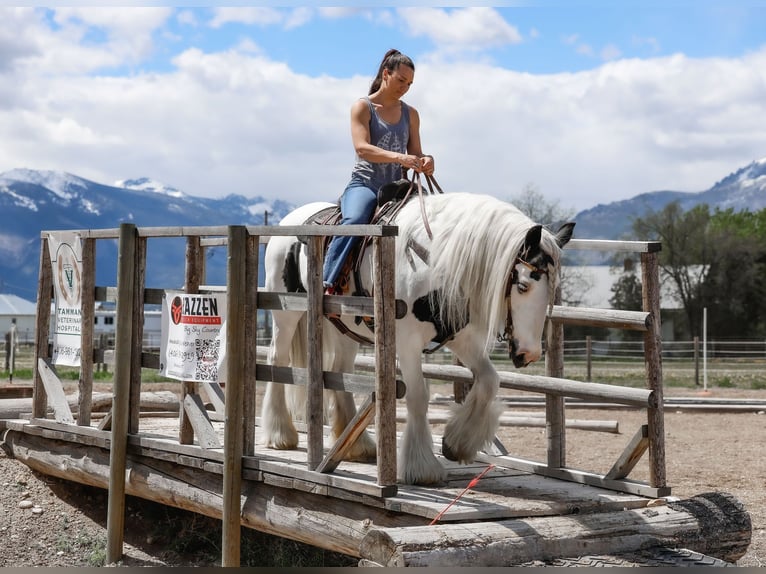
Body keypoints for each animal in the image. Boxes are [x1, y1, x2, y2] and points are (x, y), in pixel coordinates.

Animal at [260, 192, 572, 486]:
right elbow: (418, 396)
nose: (530, 353)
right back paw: (280, 434)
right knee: (278, 359)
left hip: (345, 328)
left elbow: (488, 381)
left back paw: (358, 446)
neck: (434, 261)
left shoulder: (462, 338)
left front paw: (457, 443)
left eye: (554, 286)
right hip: (286, 313)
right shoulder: (407, 342)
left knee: (340, 371)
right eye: (523, 285)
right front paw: (422, 467)